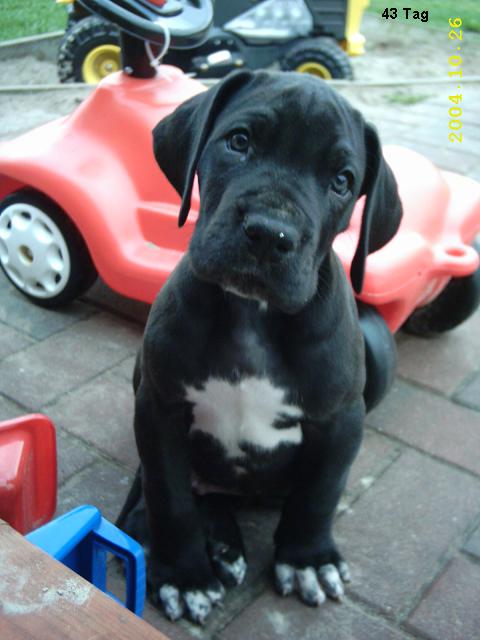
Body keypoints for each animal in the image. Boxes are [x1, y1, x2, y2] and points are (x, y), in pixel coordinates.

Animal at [117, 69, 402, 624]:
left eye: (342, 180)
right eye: (239, 141)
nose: (271, 233)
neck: (252, 313)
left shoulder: (341, 419)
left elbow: (319, 494)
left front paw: (308, 560)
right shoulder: (159, 407)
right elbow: (169, 496)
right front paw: (184, 575)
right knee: (156, 493)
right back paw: (208, 545)